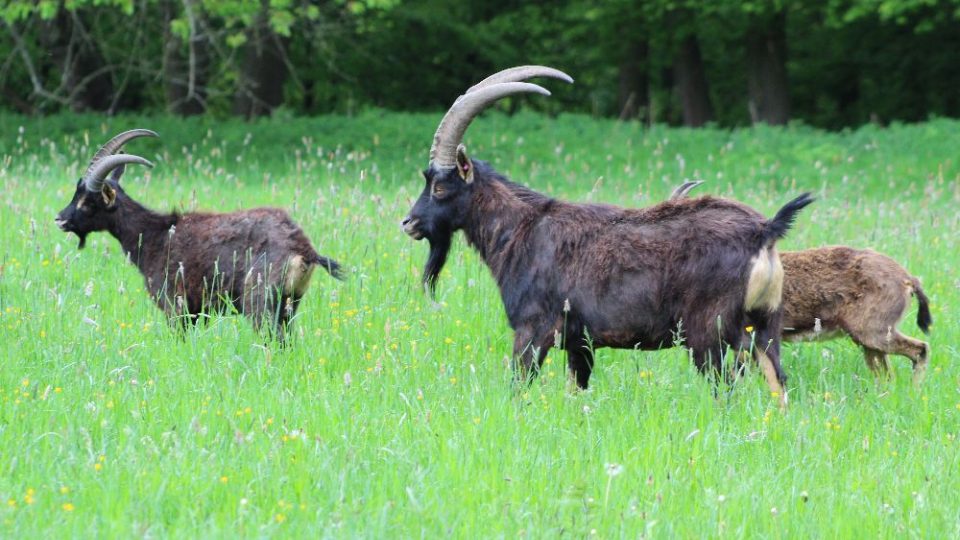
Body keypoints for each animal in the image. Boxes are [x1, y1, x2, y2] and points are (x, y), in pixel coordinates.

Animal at [55, 131, 342, 340]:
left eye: (87, 202)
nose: (60, 219)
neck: (154, 235)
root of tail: (303, 248)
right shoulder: (197, 312)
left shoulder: (175, 306)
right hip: (290, 304)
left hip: (260, 302)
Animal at [402, 65, 812, 404]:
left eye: (439, 186)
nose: (409, 223)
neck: (520, 230)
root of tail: (764, 230)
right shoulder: (579, 344)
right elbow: (576, 392)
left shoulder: (533, 330)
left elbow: (518, 386)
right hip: (765, 326)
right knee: (779, 384)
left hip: (708, 334)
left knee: (726, 388)